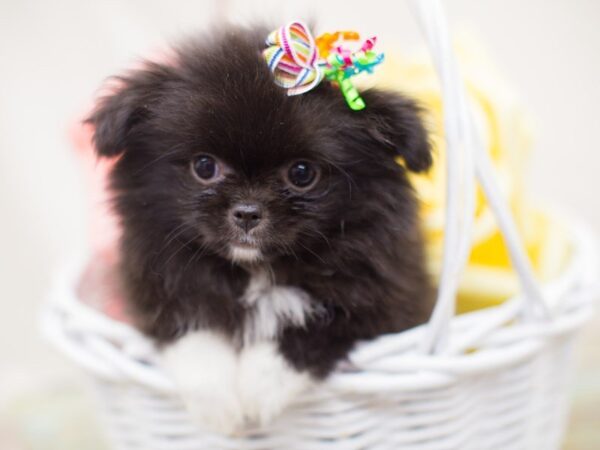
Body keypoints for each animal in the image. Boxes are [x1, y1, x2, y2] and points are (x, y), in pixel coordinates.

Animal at [88, 25, 432, 436]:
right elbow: (192, 332)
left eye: (302, 173)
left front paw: (258, 387)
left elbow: (313, 327)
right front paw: (219, 407)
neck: (254, 270)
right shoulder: (156, 287)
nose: (248, 212)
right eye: (204, 167)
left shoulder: (385, 302)